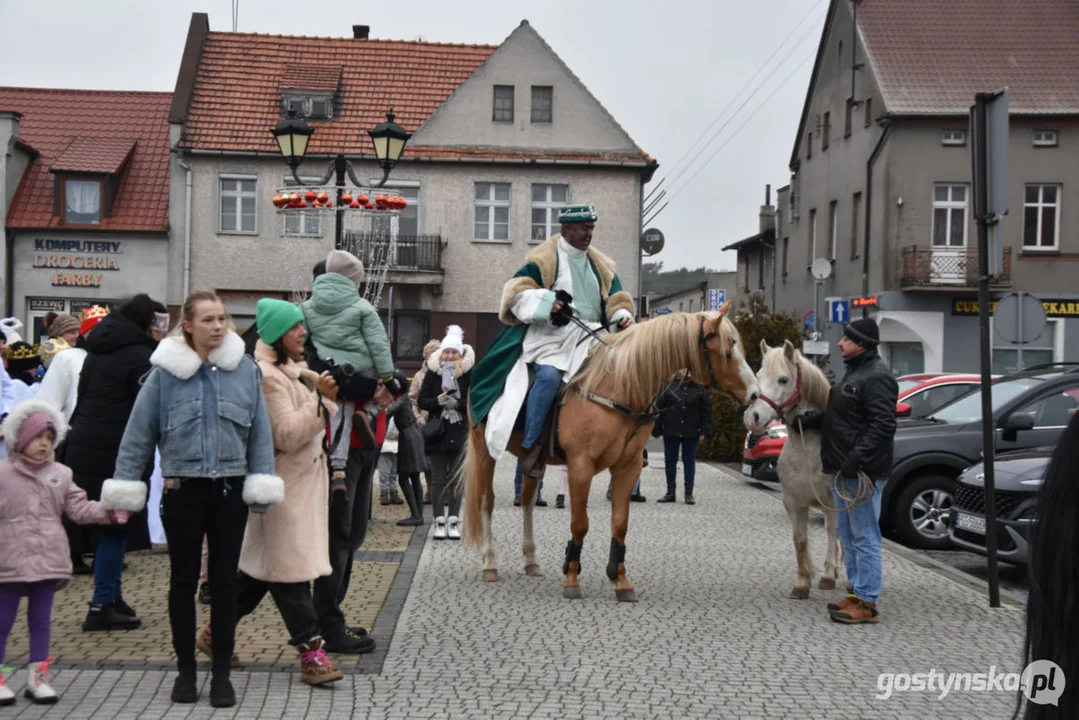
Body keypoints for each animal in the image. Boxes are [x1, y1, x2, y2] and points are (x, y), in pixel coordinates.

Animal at [459, 304, 755, 604]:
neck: (619, 386)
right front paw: (572, 577)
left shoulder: (628, 467)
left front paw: (620, 579)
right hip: (485, 449)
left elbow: (620, 524)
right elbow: (580, 523)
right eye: (727, 351)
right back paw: (490, 563)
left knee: (528, 501)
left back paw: (531, 561)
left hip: (531, 460)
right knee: (486, 501)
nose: (754, 393)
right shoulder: (581, 466)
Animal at [742, 341, 841, 600]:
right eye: (758, 375)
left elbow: (833, 532)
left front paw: (827, 576)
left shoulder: (833, 501)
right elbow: (800, 540)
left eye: (783, 379)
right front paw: (802, 584)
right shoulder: (793, 501)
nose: (753, 417)